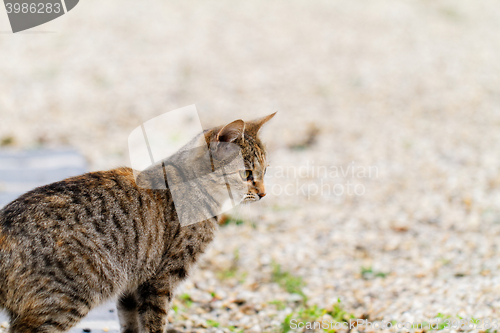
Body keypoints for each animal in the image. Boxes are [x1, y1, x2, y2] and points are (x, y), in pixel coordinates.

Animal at [0, 112, 278, 332]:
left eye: (265, 171)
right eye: (246, 174)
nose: (264, 194)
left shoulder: (132, 286)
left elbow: (131, 324)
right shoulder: (161, 278)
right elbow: (155, 321)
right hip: (66, 299)